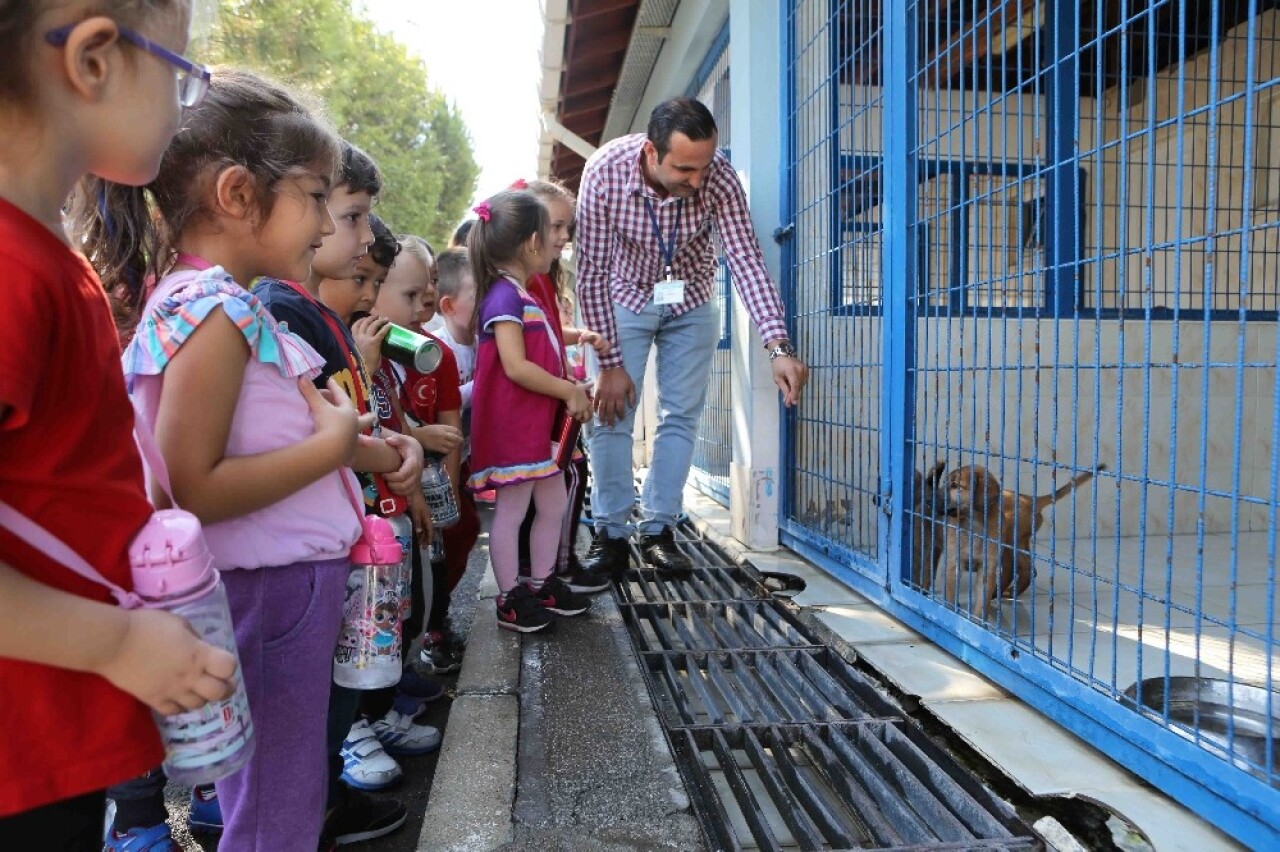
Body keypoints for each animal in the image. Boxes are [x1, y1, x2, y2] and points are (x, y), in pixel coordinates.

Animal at [936, 465, 1105, 616]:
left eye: (955, 485)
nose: (931, 499)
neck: (974, 524)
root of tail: (1029, 499)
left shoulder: (987, 566)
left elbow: (981, 600)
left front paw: (977, 620)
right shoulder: (953, 562)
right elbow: (950, 592)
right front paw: (950, 609)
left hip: (1011, 543)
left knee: (1020, 569)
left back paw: (1000, 593)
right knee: (1025, 569)